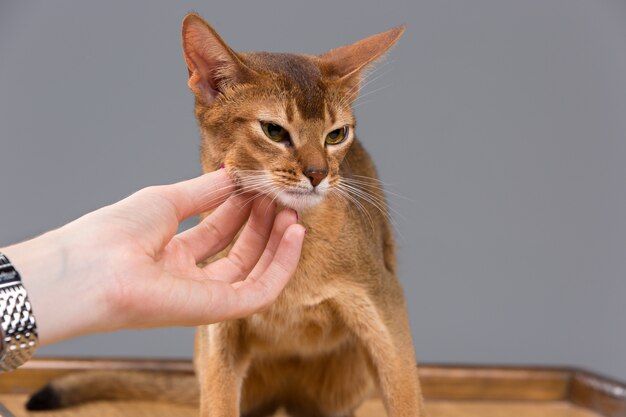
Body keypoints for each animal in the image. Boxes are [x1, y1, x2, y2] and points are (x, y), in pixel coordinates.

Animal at [25, 12, 424, 416]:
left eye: (337, 135)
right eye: (274, 130)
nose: (318, 174)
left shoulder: (383, 304)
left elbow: (406, 397)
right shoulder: (220, 330)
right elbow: (218, 400)